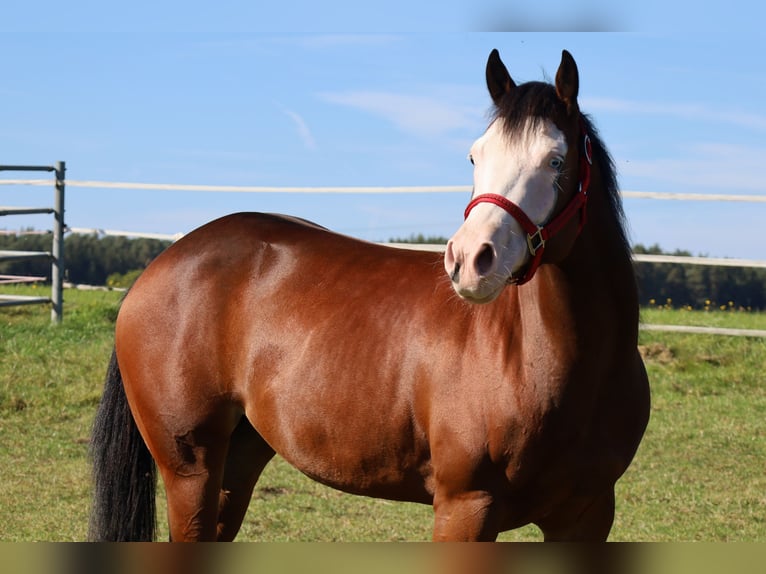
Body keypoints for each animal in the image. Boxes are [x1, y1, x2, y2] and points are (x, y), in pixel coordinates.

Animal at [89, 48, 650, 542]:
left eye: (555, 160)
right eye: (476, 155)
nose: (470, 260)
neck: (546, 365)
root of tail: (163, 263)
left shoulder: (587, 518)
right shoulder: (466, 510)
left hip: (237, 463)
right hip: (191, 471)